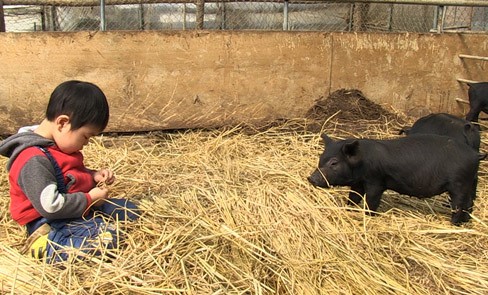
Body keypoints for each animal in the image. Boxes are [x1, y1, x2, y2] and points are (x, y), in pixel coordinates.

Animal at [308, 133, 480, 225]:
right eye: (321, 159)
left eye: (334, 163)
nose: (311, 178)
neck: (362, 163)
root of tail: (475, 155)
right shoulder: (358, 183)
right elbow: (353, 198)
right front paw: (349, 210)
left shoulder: (376, 181)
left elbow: (371, 201)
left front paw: (368, 216)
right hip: (471, 182)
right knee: (470, 202)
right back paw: (465, 222)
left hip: (459, 183)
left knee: (459, 204)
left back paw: (453, 224)